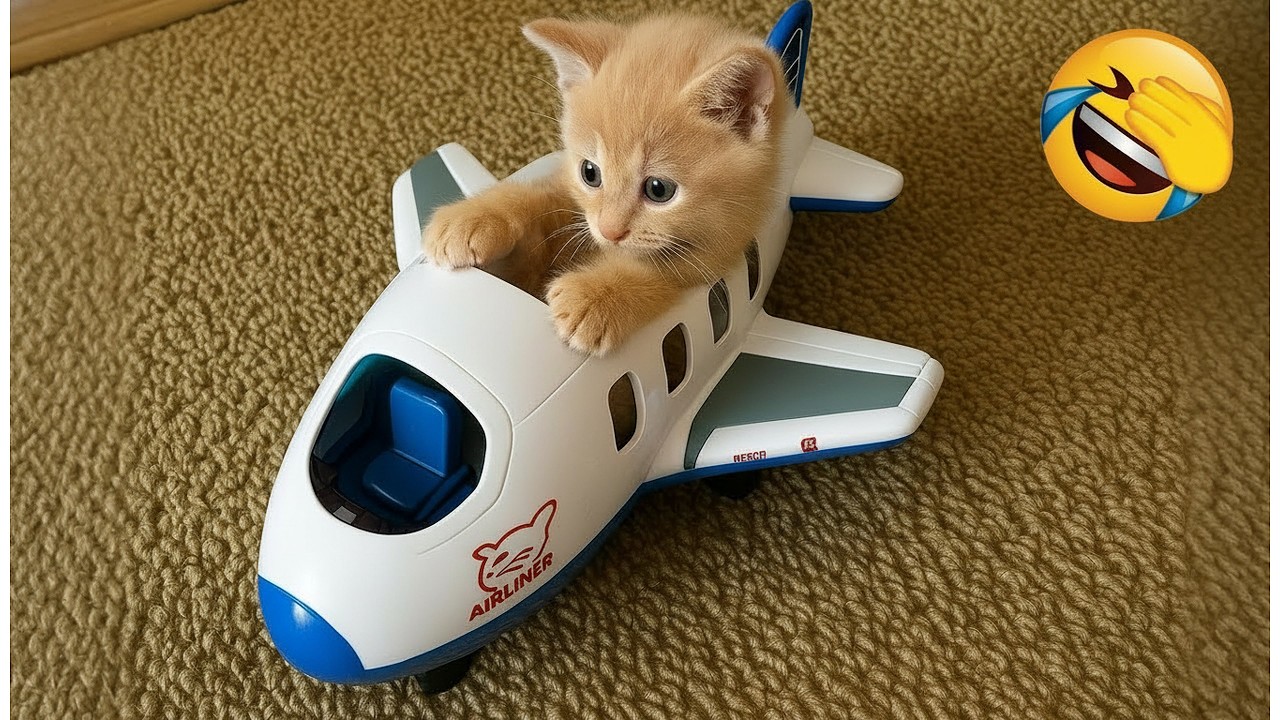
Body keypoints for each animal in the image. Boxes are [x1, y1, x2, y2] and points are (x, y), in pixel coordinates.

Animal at [423, 13, 790, 356]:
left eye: (659, 189)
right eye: (590, 173)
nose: (610, 231)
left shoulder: (725, 244)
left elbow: (664, 269)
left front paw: (593, 298)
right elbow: (543, 200)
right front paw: (472, 218)